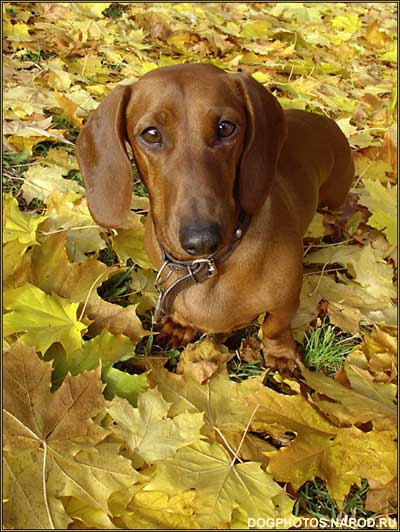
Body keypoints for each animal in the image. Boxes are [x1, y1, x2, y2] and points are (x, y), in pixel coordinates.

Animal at [76, 63, 354, 370]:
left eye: (226, 127)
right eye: (151, 134)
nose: (201, 240)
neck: (204, 266)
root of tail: (326, 120)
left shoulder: (287, 300)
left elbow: (274, 327)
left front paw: (281, 354)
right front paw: (180, 325)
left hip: (336, 194)